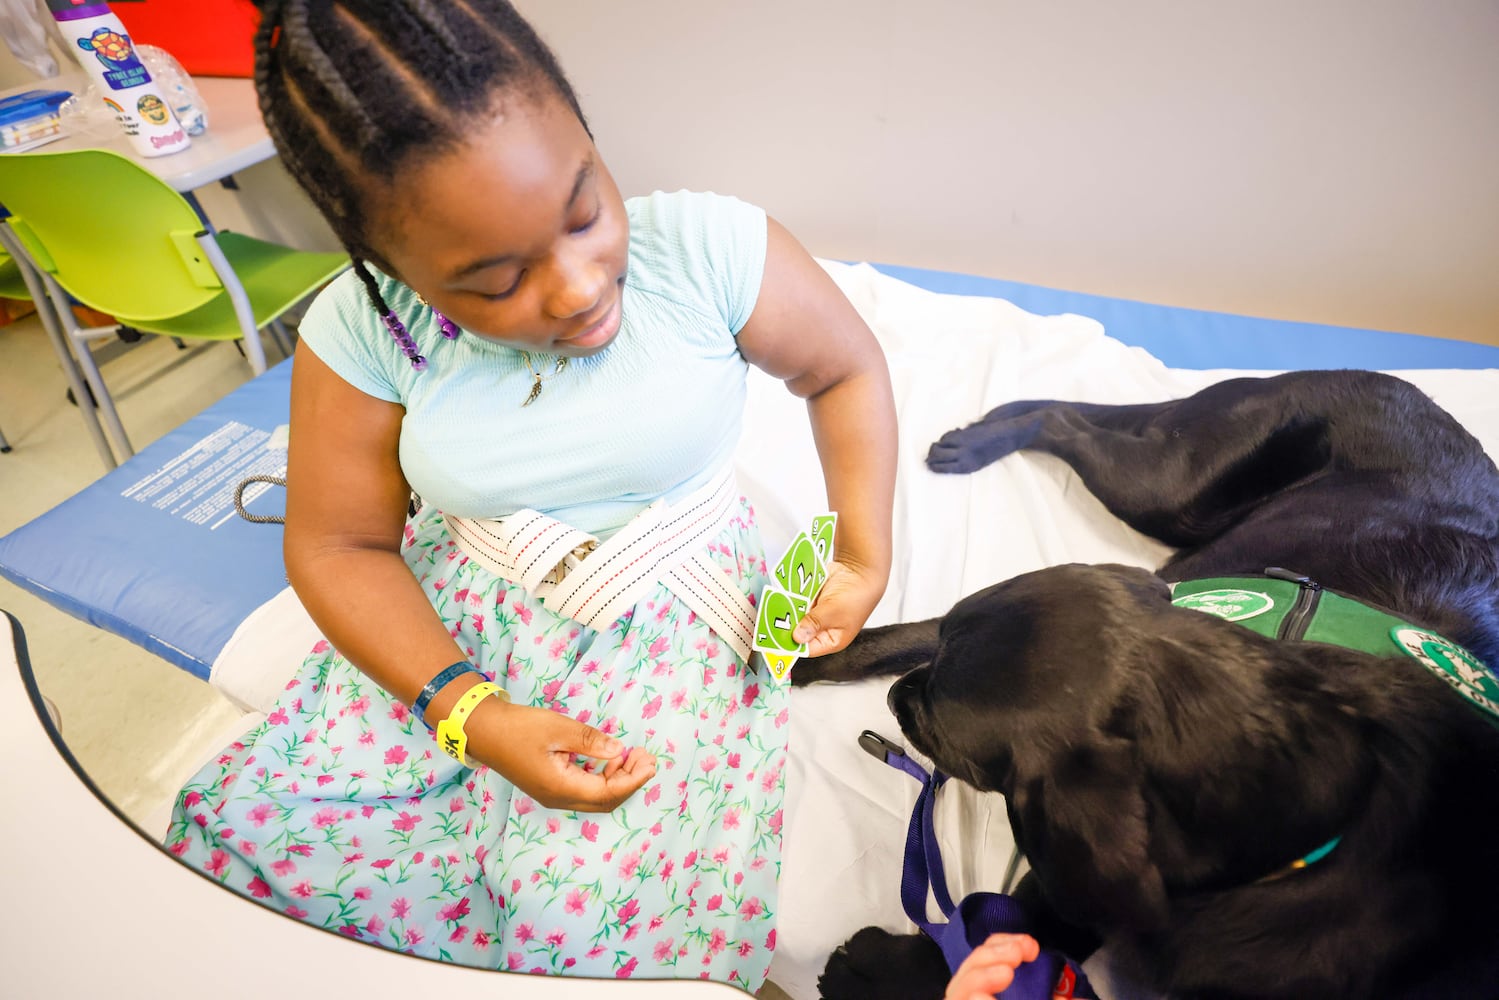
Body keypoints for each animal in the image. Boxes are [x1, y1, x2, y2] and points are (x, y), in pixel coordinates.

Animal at [797, 373, 1499, 1000]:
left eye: (946, 740)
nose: (895, 700)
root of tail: (1403, 388)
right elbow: (898, 637)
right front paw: (807, 649)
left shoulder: (1083, 877)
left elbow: (999, 942)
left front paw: (880, 971)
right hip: (1175, 484)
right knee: (1065, 421)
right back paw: (980, 440)